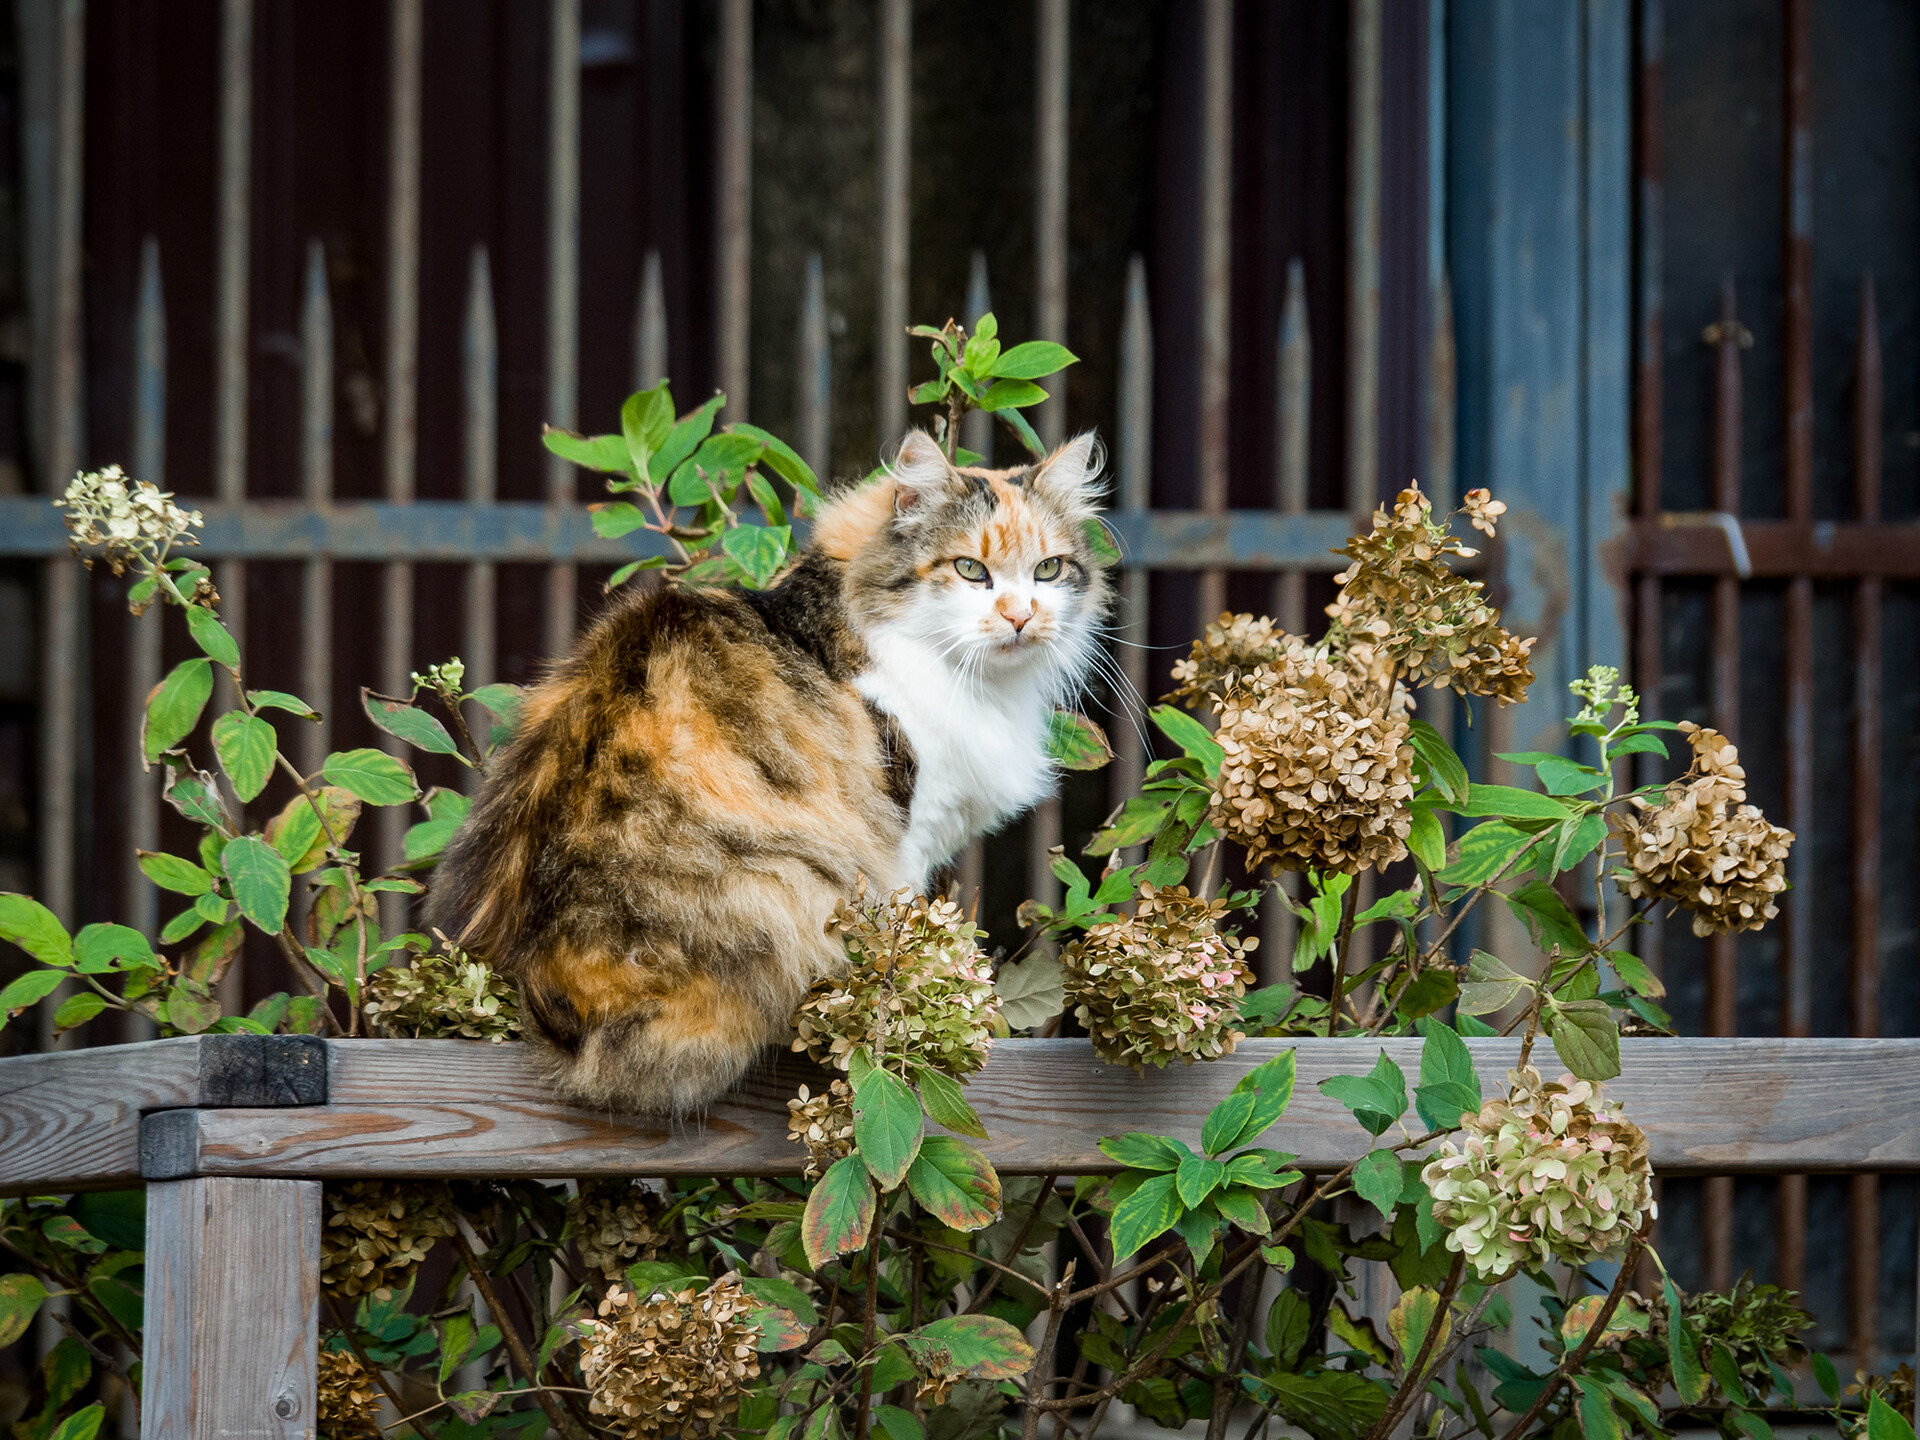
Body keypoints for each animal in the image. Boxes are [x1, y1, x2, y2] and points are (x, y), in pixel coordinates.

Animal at [426, 428, 1105, 1113]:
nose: (1021, 617)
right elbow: (905, 934)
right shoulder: (908, 835)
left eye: (1048, 570)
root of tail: (531, 992)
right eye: (971, 569)